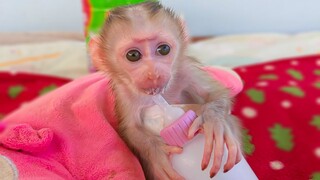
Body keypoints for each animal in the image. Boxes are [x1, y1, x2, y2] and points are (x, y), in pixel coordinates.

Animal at [89, 1, 241, 179]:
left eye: (164, 49)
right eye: (133, 55)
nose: (153, 74)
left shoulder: (186, 69)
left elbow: (216, 94)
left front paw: (212, 121)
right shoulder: (123, 93)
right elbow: (131, 129)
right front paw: (157, 153)